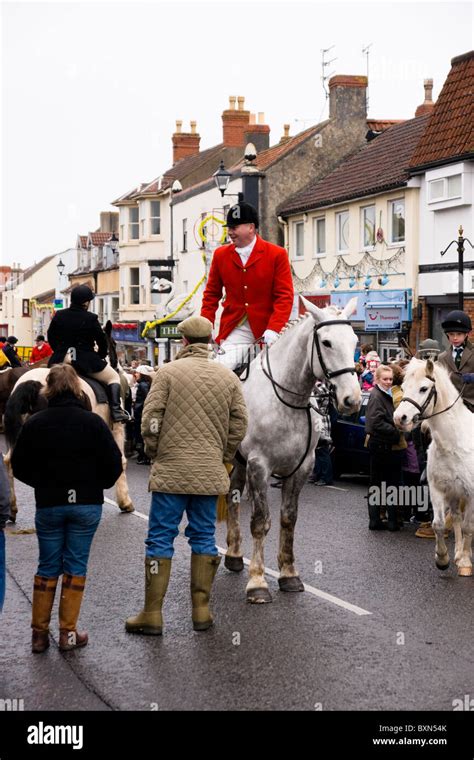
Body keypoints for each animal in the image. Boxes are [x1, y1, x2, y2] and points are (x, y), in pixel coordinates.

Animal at [3, 318, 134, 520]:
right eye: (112, 344)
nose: (119, 369)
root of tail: (31, 382)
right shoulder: (115, 429)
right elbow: (121, 461)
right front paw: (125, 502)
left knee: (10, 461)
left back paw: (13, 510)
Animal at [224, 296, 362, 600]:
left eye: (355, 340)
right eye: (326, 342)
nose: (352, 399)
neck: (288, 399)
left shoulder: (302, 467)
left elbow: (288, 519)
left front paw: (288, 574)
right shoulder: (259, 466)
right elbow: (260, 522)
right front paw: (258, 582)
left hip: (238, 463)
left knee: (232, 498)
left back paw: (234, 555)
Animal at [392, 360, 474, 576]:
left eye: (423, 388)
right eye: (403, 387)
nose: (399, 418)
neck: (453, 444)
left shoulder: (472, 493)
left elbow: (469, 526)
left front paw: (465, 562)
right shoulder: (438, 489)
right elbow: (439, 524)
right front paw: (443, 559)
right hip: (454, 493)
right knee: (455, 517)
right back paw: (457, 553)